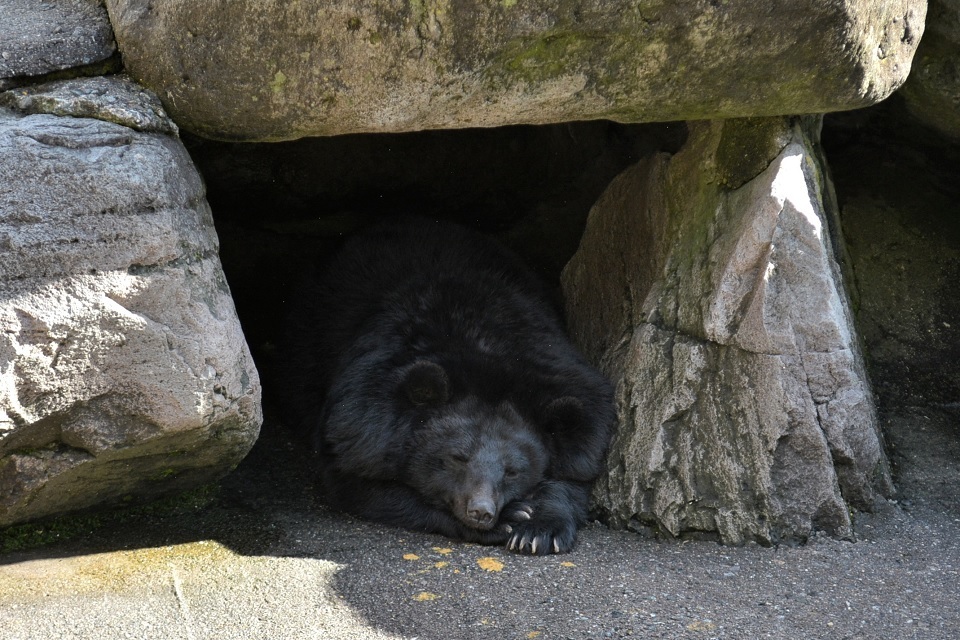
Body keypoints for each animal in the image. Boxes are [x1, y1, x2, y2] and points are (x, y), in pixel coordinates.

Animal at [278, 218, 616, 554]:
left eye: (512, 471)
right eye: (457, 458)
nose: (481, 511)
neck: (486, 355)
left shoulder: (567, 379)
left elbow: (575, 473)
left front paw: (539, 531)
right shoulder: (360, 415)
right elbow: (360, 483)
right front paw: (510, 519)